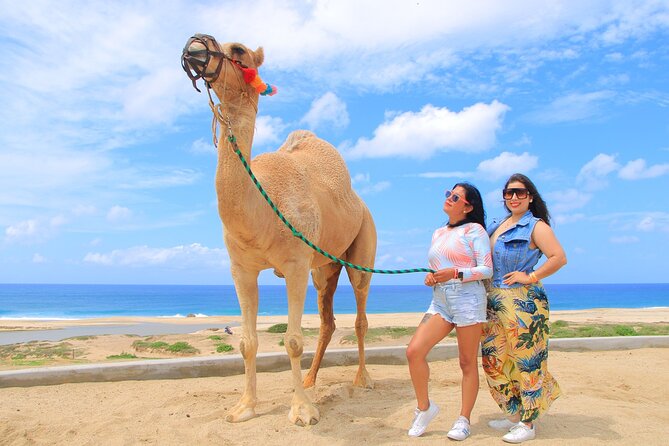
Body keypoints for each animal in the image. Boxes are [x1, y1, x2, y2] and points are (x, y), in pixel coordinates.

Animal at [181, 34, 377, 426]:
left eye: (238, 50)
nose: (195, 45)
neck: (262, 211)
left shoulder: (296, 264)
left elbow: (293, 340)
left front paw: (302, 411)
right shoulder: (241, 268)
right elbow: (248, 342)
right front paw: (244, 407)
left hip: (363, 244)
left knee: (361, 314)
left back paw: (361, 380)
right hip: (324, 267)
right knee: (328, 320)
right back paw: (312, 379)